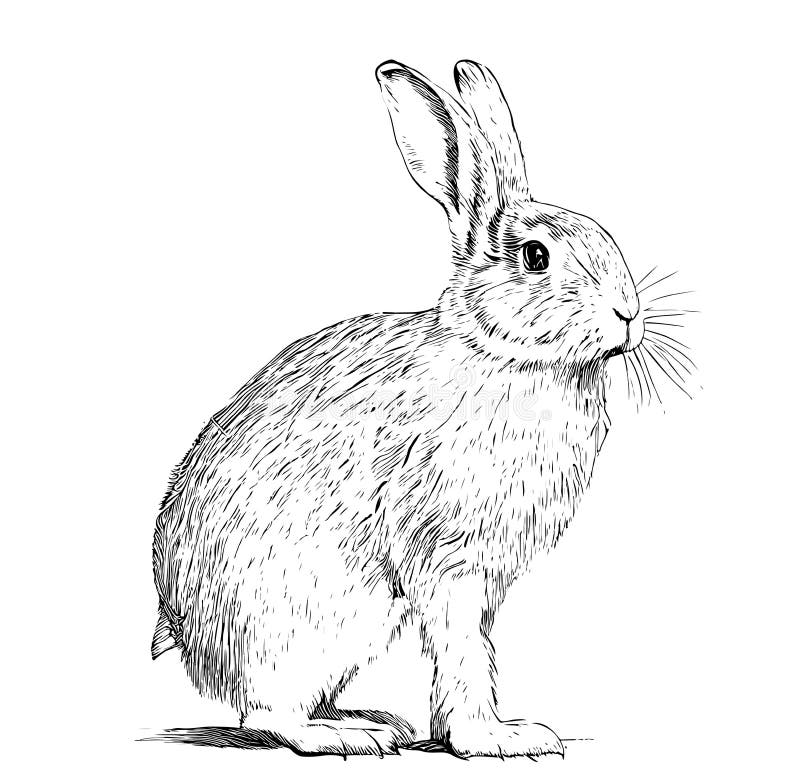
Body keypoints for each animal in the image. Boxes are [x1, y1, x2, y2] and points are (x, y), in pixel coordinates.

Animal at [151, 59, 644, 758]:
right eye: (536, 257)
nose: (628, 312)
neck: (499, 353)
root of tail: (180, 626)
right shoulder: (449, 558)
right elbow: (463, 650)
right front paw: (497, 738)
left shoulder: (486, 579)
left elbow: (473, 648)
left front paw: (466, 730)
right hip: (310, 622)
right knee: (267, 714)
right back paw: (349, 735)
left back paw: (374, 717)